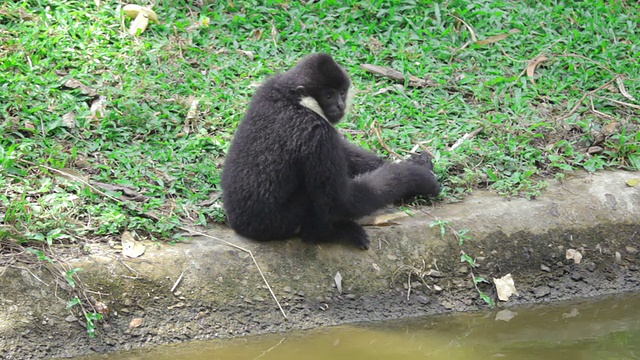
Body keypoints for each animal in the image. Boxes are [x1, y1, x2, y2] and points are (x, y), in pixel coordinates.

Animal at [221, 53, 440, 249]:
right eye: (328, 95)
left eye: (341, 92)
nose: (340, 104)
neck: (294, 100)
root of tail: (239, 223)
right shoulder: (317, 134)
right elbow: (341, 201)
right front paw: (417, 177)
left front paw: (416, 164)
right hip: (281, 222)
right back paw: (333, 233)